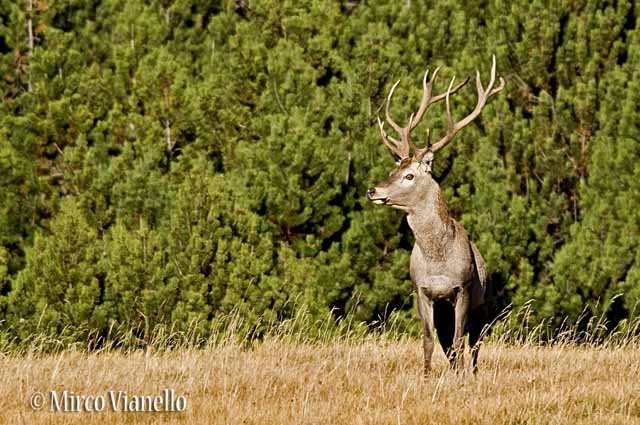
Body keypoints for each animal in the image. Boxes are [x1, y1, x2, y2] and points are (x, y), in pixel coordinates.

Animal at [367, 55, 504, 375]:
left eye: (409, 175)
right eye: (394, 168)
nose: (372, 190)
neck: (439, 260)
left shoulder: (462, 289)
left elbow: (459, 341)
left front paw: (460, 379)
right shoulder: (422, 291)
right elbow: (429, 342)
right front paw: (427, 377)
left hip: (483, 304)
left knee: (473, 344)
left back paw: (471, 374)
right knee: (449, 346)